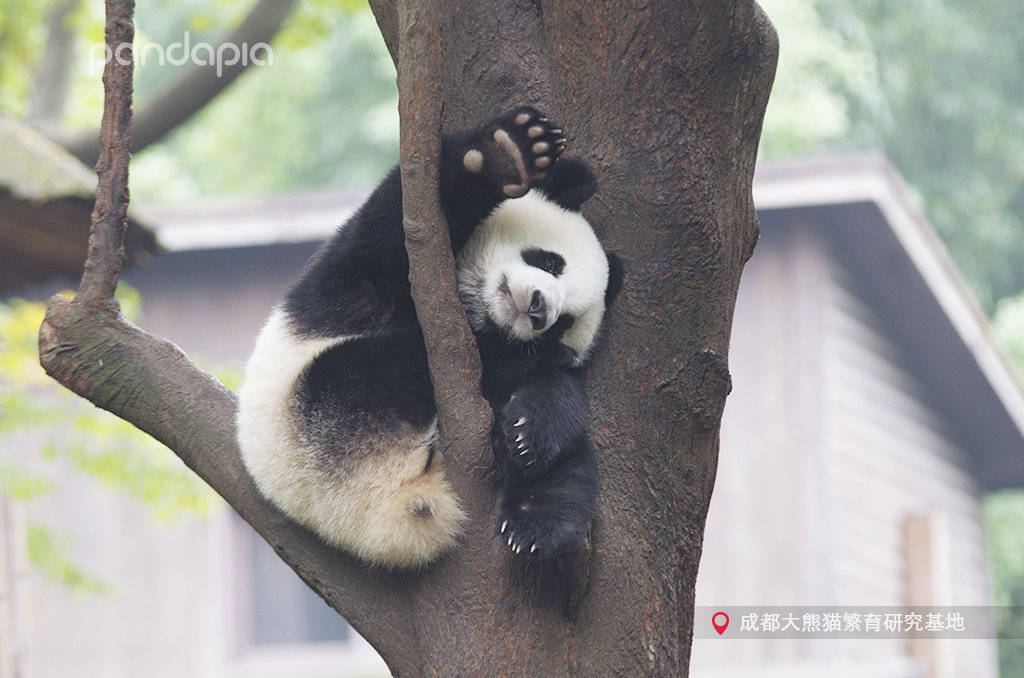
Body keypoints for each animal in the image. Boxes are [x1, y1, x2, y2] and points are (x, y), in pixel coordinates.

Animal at [237, 109, 622, 569]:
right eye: (548, 261)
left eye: (564, 321)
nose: (539, 310)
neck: (474, 306)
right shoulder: (357, 277)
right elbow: (396, 233)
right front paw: (507, 154)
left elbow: (555, 400)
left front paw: (531, 426)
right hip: (316, 413)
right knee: (397, 362)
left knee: (571, 463)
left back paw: (534, 519)